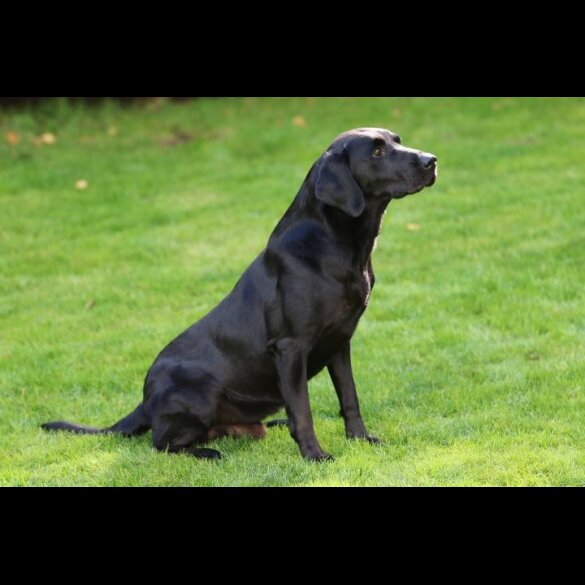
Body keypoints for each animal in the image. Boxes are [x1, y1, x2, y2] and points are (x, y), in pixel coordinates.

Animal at [43, 128, 436, 460]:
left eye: (397, 141)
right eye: (377, 151)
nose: (432, 160)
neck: (340, 246)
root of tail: (144, 400)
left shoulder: (340, 341)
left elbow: (349, 398)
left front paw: (361, 439)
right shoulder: (290, 347)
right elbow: (303, 410)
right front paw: (314, 455)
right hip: (196, 394)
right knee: (161, 443)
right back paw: (207, 452)